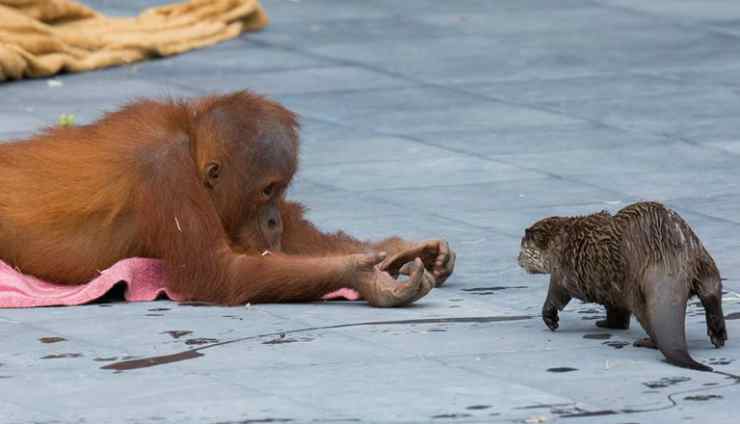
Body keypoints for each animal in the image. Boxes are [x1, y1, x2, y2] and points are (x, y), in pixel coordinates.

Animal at [520, 202, 728, 372]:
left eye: (521, 248)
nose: (518, 260)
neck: (560, 240)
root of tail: (669, 257)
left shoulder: (564, 272)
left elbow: (557, 295)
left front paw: (551, 318)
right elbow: (616, 310)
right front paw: (607, 323)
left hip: (633, 286)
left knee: (647, 318)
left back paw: (646, 342)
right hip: (703, 259)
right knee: (712, 292)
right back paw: (718, 335)